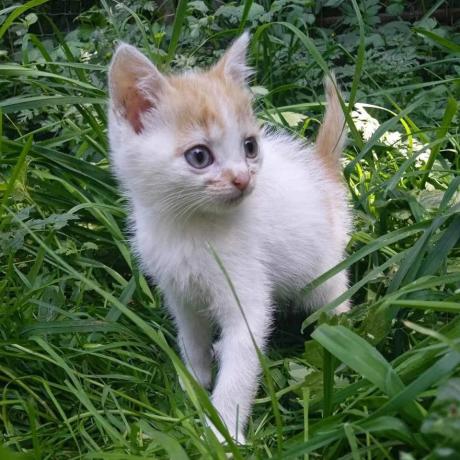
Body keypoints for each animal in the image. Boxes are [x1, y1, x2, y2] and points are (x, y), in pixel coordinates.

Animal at [108, 32, 352, 442]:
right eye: (199, 156)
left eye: (250, 147)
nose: (242, 178)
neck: (187, 226)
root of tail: (322, 172)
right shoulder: (178, 290)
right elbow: (192, 336)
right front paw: (194, 381)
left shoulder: (247, 298)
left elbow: (240, 370)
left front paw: (222, 433)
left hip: (323, 275)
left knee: (336, 300)